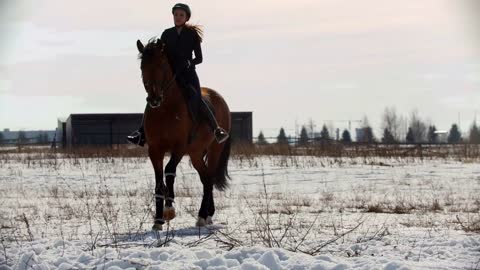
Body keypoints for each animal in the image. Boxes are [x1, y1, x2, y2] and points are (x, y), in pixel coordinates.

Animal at [135, 39, 232, 231]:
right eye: (143, 67)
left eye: (162, 65)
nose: (154, 99)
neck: (165, 110)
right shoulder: (154, 150)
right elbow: (159, 182)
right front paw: (158, 220)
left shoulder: (179, 147)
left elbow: (169, 171)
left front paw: (169, 210)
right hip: (196, 154)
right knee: (206, 179)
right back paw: (207, 214)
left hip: (214, 150)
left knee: (209, 178)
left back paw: (202, 216)